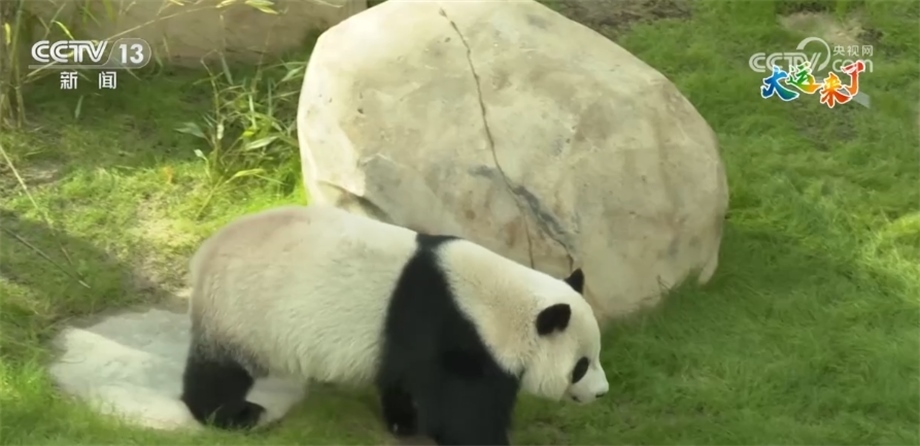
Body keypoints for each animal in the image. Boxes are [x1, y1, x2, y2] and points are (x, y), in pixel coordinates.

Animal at [180, 204, 609, 445]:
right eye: (581, 366)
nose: (602, 393)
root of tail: (203, 254)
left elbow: (401, 380)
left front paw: (405, 422)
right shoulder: (452, 332)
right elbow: (464, 410)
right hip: (241, 312)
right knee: (219, 371)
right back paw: (234, 414)